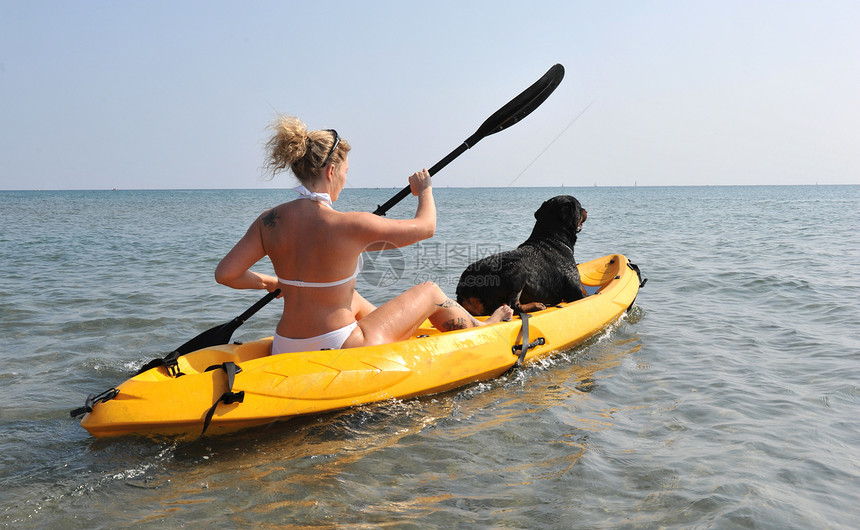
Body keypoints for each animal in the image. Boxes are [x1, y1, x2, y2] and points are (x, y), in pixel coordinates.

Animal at [456, 196, 584, 316]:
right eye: (580, 207)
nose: (585, 210)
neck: (553, 238)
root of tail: (463, 287)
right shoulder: (576, 292)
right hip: (518, 271)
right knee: (513, 306)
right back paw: (536, 305)